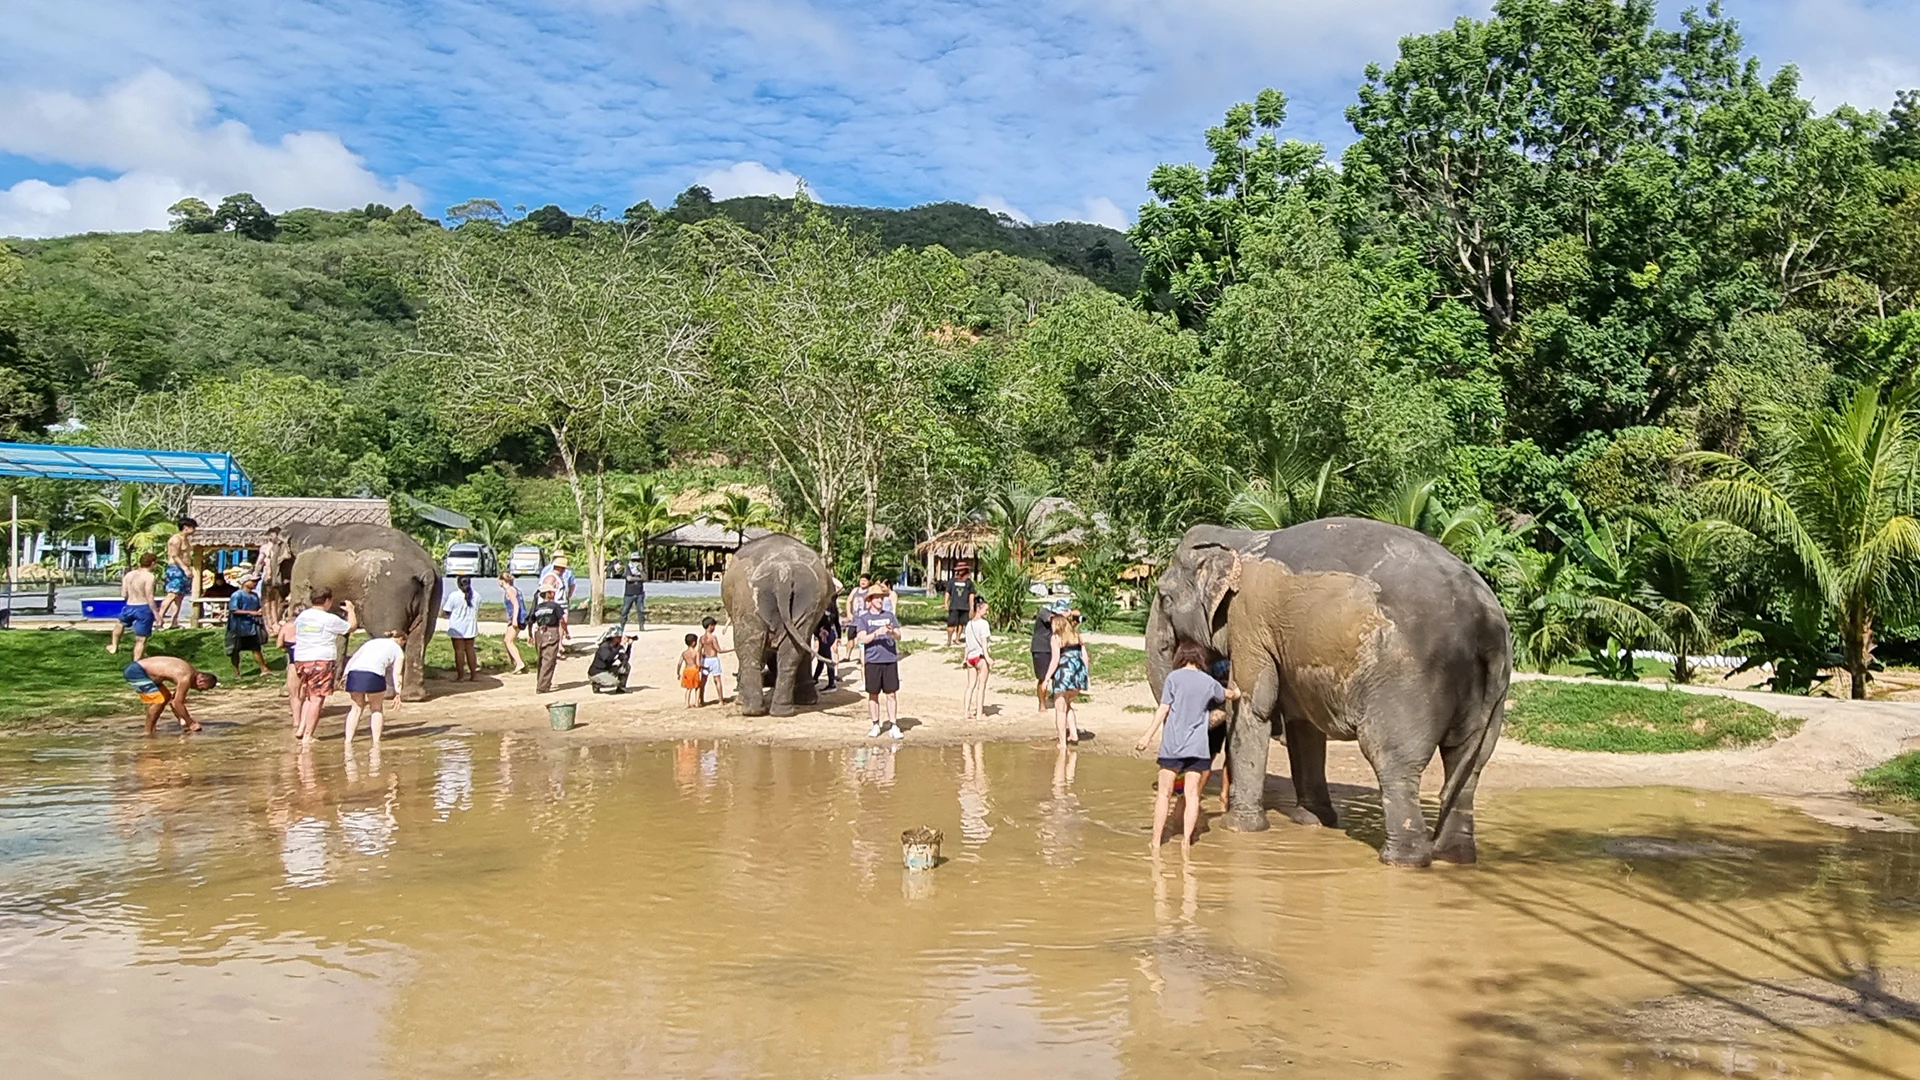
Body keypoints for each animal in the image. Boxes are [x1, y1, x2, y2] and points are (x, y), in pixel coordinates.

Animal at [276, 518, 443, 703]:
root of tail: (424, 568)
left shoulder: (301, 571)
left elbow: (297, 614)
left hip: (386, 595)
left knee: (384, 635)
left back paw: (385, 694)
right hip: (435, 592)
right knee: (421, 635)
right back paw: (413, 696)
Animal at [721, 530, 833, 714]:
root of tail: (783, 574)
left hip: (747, 599)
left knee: (748, 645)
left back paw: (751, 710)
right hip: (809, 600)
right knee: (791, 650)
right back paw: (781, 711)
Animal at [1144, 518, 1505, 860]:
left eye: (1165, 597)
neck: (1237, 538)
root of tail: (1485, 623)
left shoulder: (1247, 621)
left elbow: (1252, 705)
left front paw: (1238, 829)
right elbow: (1303, 726)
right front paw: (1311, 821)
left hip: (1408, 682)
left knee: (1393, 761)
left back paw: (1403, 860)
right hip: (1491, 693)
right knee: (1468, 766)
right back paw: (1453, 856)